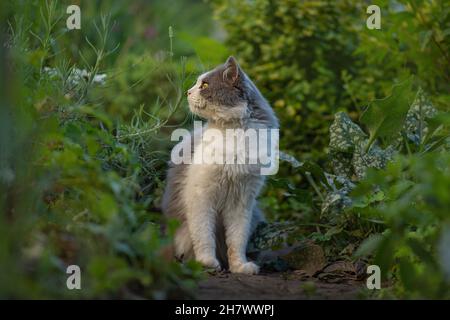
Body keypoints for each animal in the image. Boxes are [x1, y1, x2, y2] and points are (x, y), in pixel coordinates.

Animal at [162, 56, 278, 274]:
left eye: (205, 85)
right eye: (197, 84)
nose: (187, 92)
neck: (233, 133)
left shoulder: (242, 201)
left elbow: (236, 240)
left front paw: (240, 266)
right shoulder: (201, 196)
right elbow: (204, 236)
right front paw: (207, 263)